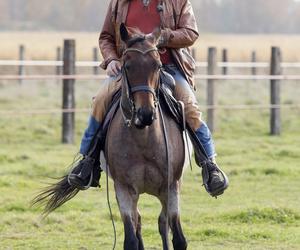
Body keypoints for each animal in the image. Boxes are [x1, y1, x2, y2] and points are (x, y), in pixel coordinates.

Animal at [32, 23, 188, 250]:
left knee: (162, 223)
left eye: (158, 65)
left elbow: (177, 237)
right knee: (139, 222)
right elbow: (131, 238)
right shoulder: (124, 190)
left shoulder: (171, 187)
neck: (144, 140)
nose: (145, 113)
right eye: (127, 66)